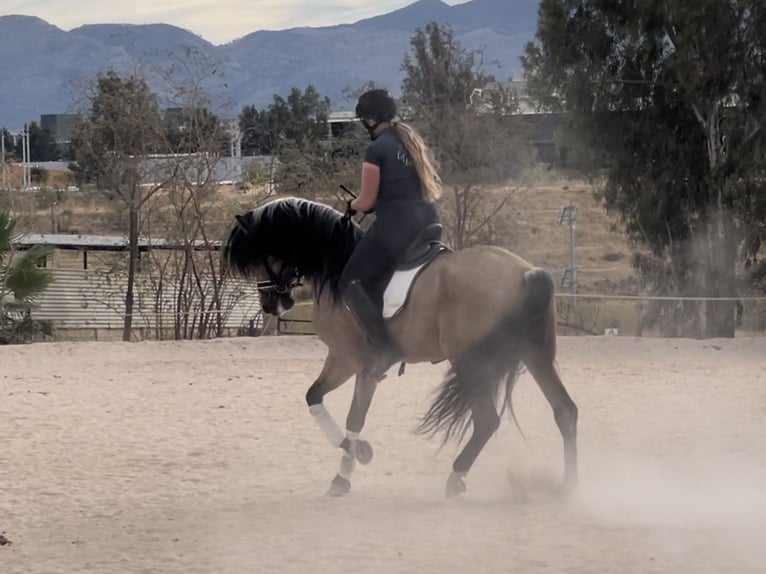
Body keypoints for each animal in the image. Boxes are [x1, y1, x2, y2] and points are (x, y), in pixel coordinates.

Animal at [220, 198, 576, 500]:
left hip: (470, 363)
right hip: (536, 355)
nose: (270, 305)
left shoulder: (352, 362)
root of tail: (527, 273)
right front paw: (348, 467)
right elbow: (317, 399)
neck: (337, 268)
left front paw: (352, 461)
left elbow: (349, 416)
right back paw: (568, 488)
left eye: (261, 256)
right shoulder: (347, 363)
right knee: (565, 411)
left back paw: (456, 478)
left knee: (488, 420)